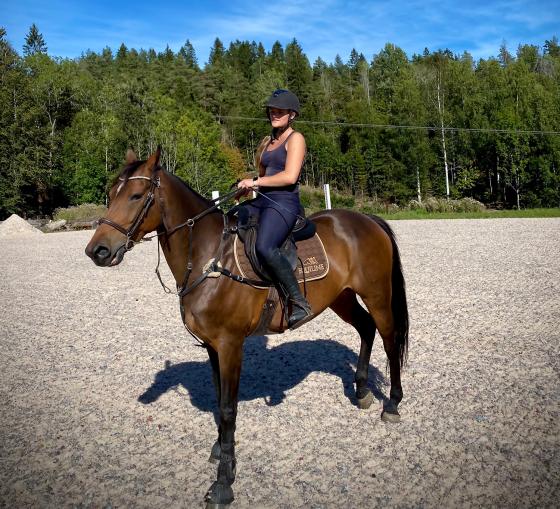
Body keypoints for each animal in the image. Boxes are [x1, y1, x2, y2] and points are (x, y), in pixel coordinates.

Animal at [85, 148, 410, 508]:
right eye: (111, 193)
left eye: (137, 195)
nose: (97, 251)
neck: (209, 258)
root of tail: (367, 219)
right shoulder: (211, 346)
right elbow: (218, 401)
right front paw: (220, 450)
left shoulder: (230, 345)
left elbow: (228, 409)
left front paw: (224, 482)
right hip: (342, 297)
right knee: (366, 329)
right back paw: (363, 392)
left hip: (376, 294)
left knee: (390, 339)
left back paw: (392, 404)